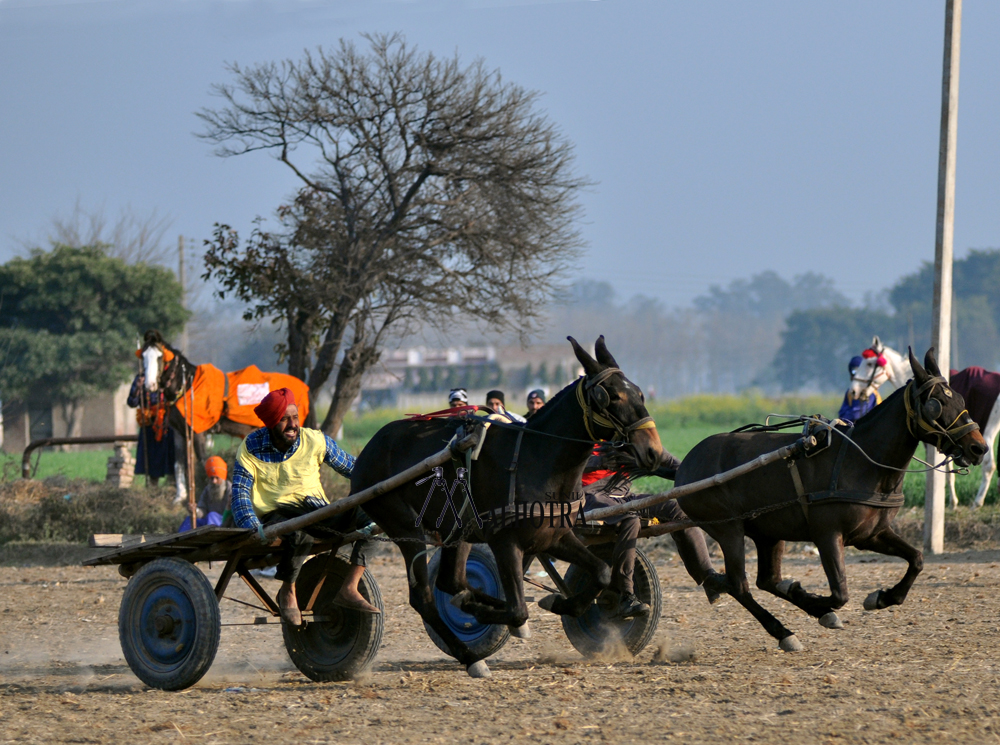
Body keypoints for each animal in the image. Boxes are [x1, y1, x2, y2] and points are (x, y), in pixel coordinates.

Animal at [352, 340, 664, 676]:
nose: (653, 451)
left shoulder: (555, 535)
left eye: (639, 393)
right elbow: (518, 611)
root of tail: (368, 450)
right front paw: (503, 617)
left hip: (457, 530)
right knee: (424, 596)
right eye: (612, 396)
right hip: (405, 526)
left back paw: (472, 603)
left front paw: (563, 603)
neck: (537, 457)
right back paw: (470, 654)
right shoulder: (505, 540)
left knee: (452, 582)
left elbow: (602, 572)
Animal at [672, 348, 984, 652]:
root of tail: (686, 465)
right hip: (728, 529)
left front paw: (883, 597)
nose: (978, 447)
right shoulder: (827, 534)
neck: (863, 460)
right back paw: (783, 630)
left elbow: (917, 559)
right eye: (936, 404)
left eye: (960, 397)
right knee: (740, 585)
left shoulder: (871, 534)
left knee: (766, 580)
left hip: (768, 532)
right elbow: (839, 594)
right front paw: (818, 605)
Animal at [844, 336, 1000, 506]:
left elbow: (946, 470)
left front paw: (952, 502)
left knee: (989, 464)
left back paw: (977, 502)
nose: (854, 391)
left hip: (987, 430)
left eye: (870, 363)